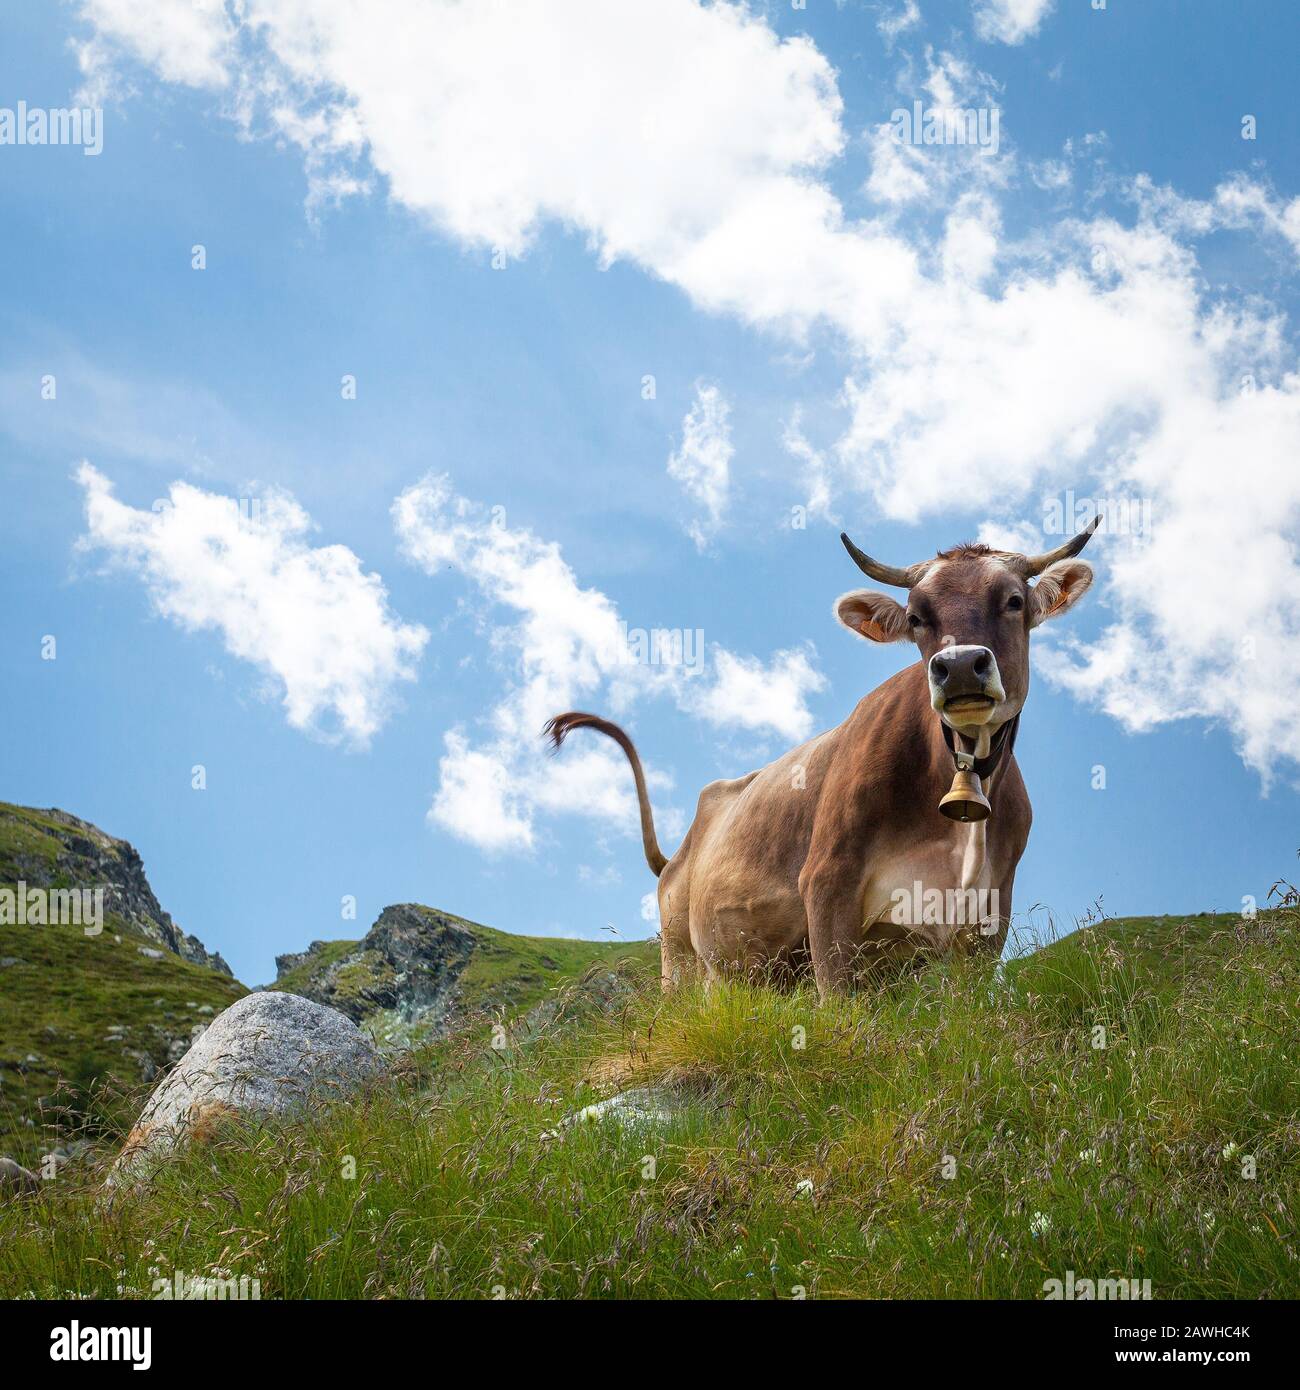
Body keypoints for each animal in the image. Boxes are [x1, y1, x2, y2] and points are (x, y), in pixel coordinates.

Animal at [544, 520, 1099, 998]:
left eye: (1013, 600)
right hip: (680, 958)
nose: (960, 665)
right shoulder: (828, 884)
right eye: (916, 618)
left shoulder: (988, 913)